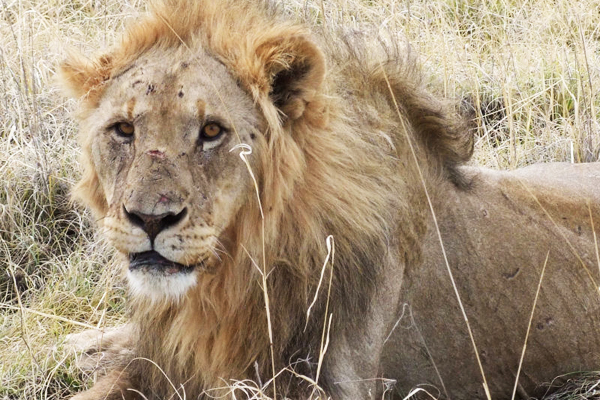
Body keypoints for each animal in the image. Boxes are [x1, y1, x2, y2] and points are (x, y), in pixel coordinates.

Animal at [58, 0, 600, 400]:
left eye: (212, 131)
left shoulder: (320, 382)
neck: (222, 288)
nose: (149, 219)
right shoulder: (158, 363)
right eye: (124, 130)